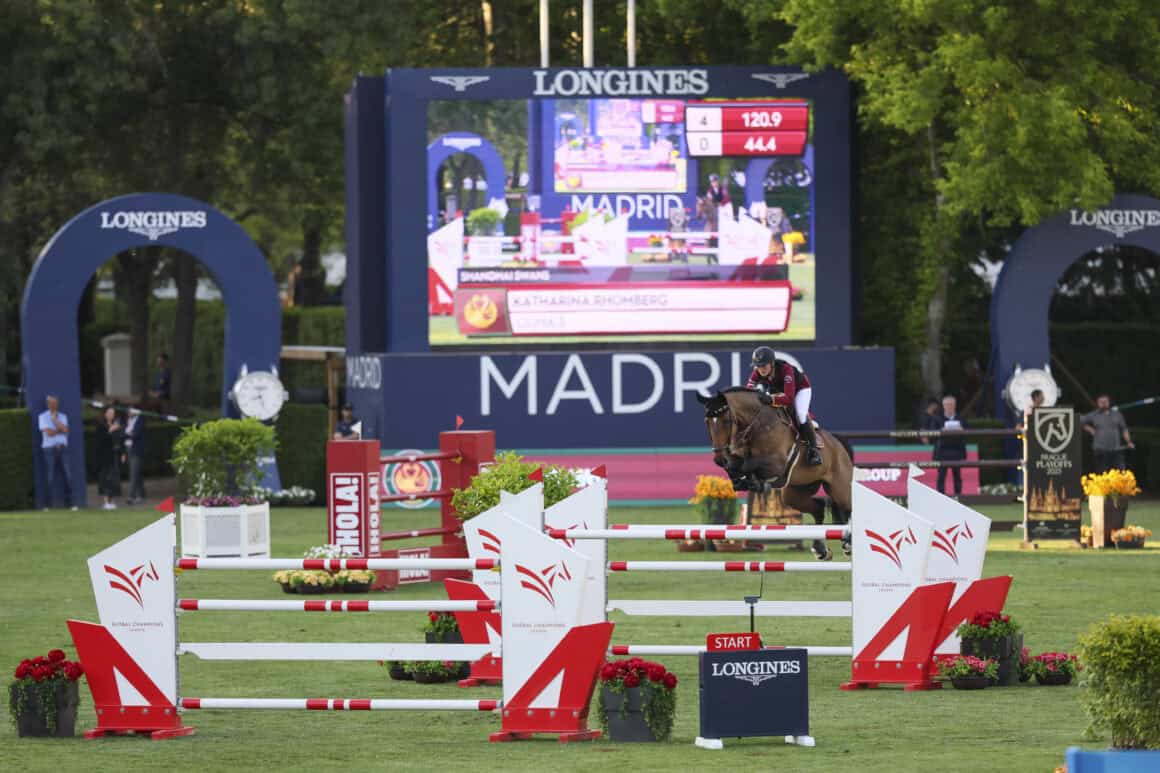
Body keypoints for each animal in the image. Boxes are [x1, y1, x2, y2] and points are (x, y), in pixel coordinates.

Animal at [696, 387, 853, 560]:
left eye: (726, 421)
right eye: (706, 421)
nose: (718, 459)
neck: (756, 424)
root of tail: (838, 444)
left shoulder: (777, 463)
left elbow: (747, 464)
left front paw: (753, 482)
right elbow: (736, 465)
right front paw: (743, 481)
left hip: (840, 488)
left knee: (848, 507)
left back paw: (848, 544)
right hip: (796, 492)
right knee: (818, 508)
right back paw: (821, 550)